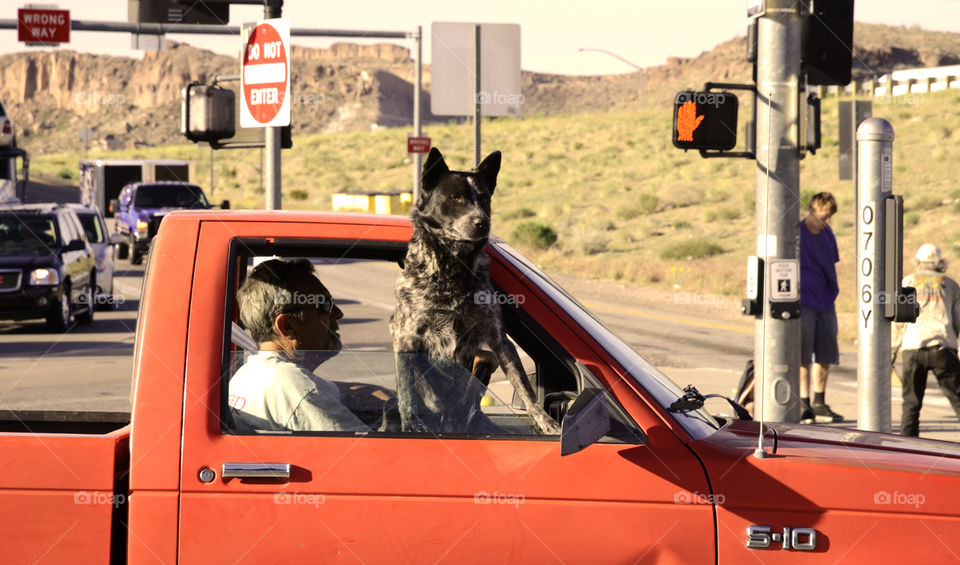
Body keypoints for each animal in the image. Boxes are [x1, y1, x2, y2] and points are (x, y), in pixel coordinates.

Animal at [392, 148, 564, 434]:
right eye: (454, 197)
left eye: (484, 198)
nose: (482, 222)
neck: (453, 272)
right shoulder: (406, 338)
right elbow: (407, 391)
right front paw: (411, 425)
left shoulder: (500, 340)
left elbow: (525, 388)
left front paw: (547, 423)